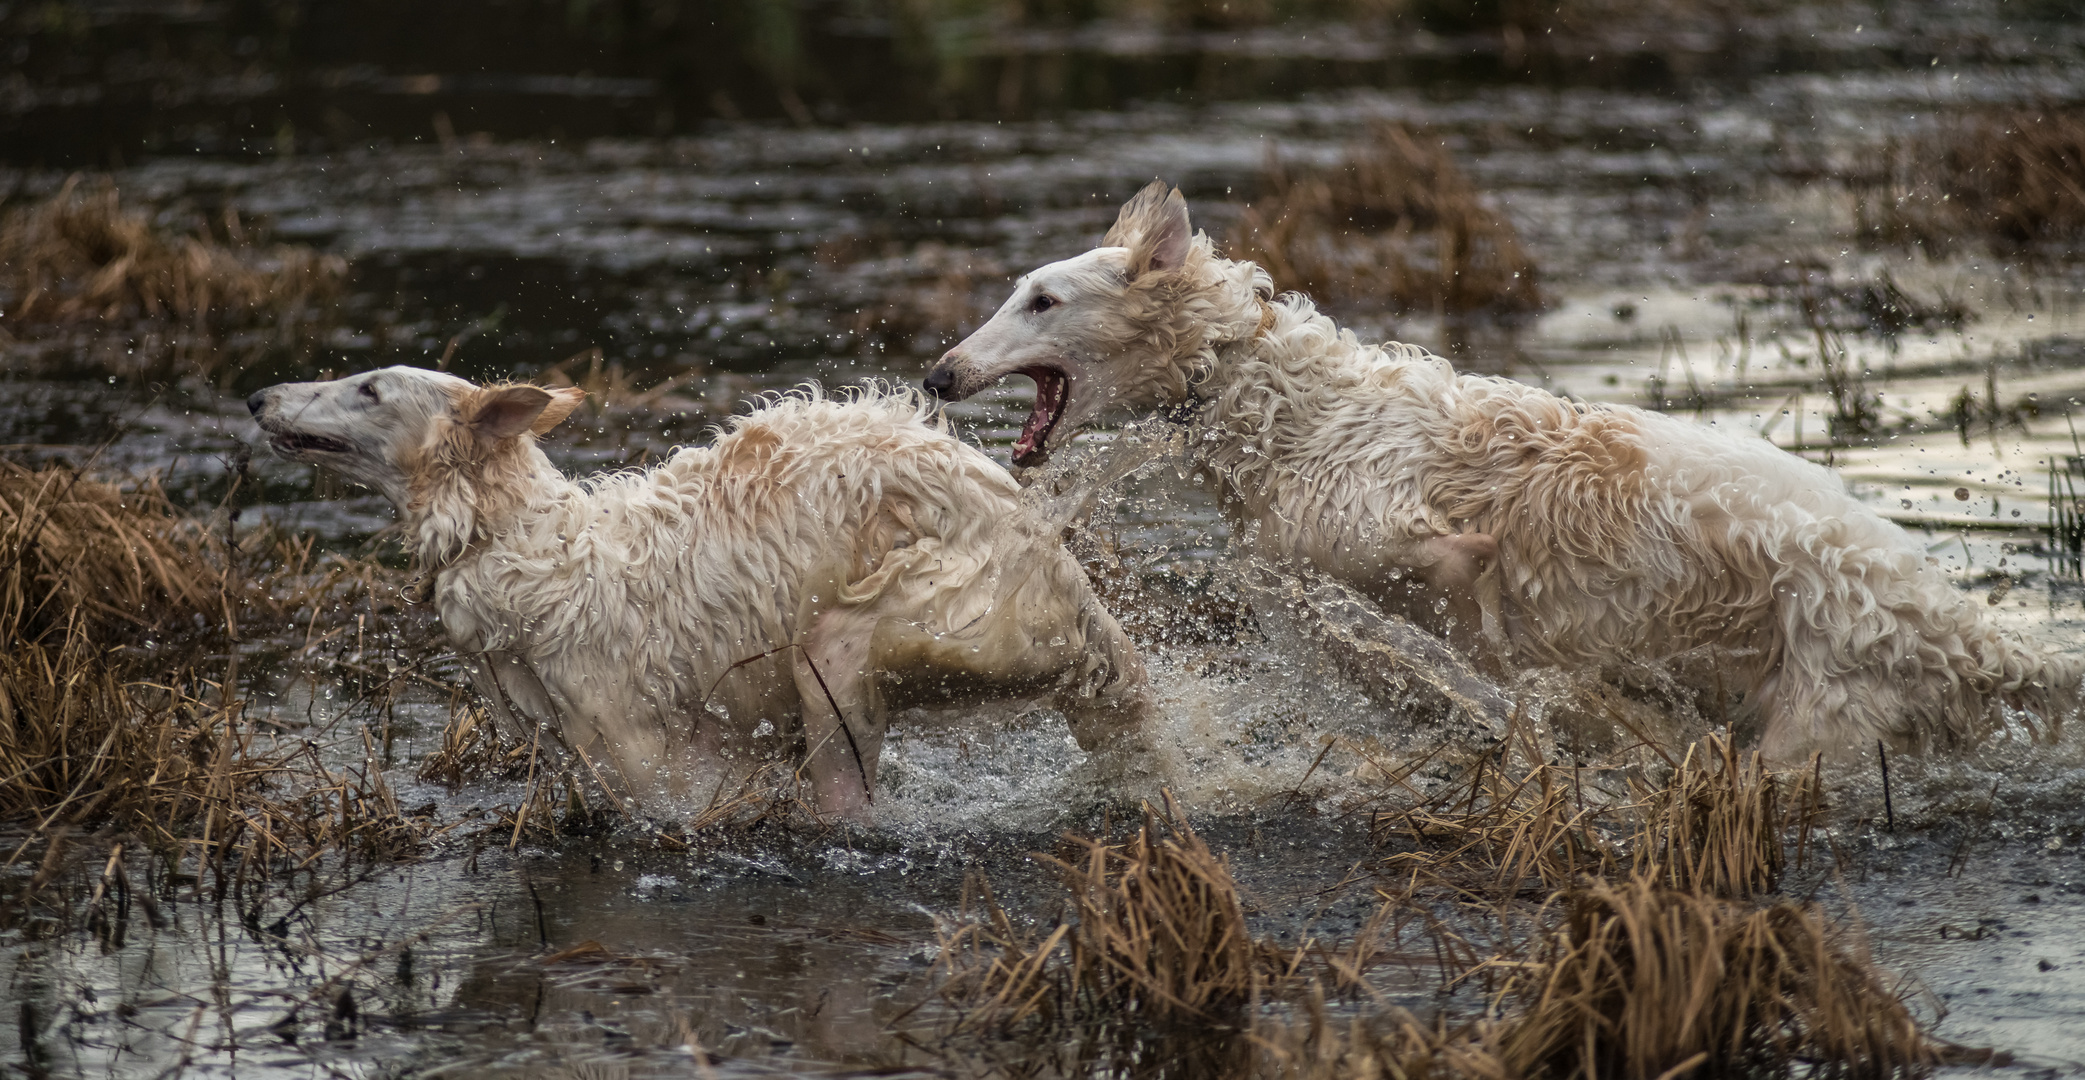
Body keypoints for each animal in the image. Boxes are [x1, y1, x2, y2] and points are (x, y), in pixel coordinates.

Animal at [934, 180, 2085, 763]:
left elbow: (1447, 597)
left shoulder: (1397, 530)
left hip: (1819, 716)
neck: (1284, 408)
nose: (940, 373)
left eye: (1040, 299)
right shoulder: (1298, 561)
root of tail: (1953, 623)